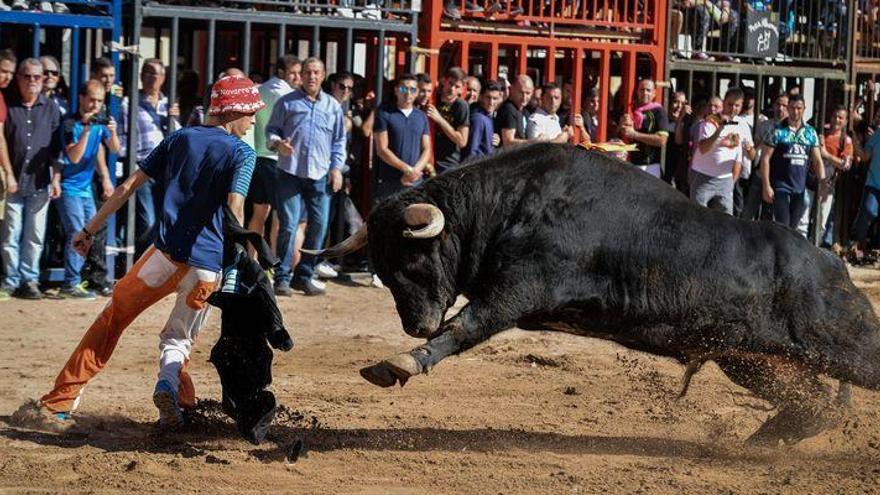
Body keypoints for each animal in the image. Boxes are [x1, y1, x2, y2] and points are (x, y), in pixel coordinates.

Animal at [312, 143, 880, 446]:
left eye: (412, 260)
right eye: (382, 271)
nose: (416, 325)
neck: (508, 202)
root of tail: (832, 263)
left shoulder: (517, 290)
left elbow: (465, 327)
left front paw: (402, 361)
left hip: (840, 343)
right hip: (751, 359)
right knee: (812, 405)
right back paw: (766, 440)